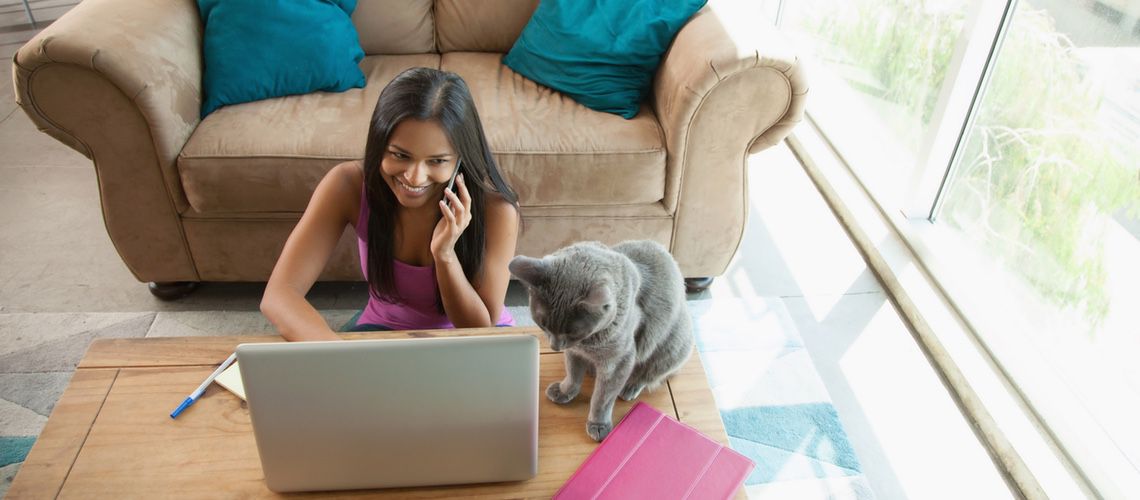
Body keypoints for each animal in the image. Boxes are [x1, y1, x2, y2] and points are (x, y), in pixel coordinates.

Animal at [510, 240, 693, 439]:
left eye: (573, 332)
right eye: (543, 324)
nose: (555, 347)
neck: (587, 344)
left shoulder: (618, 362)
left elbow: (602, 397)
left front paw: (598, 424)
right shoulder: (574, 352)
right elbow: (573, 374)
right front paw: (564, 391)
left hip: (671, 348)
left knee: (650, 373)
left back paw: (630, 387)